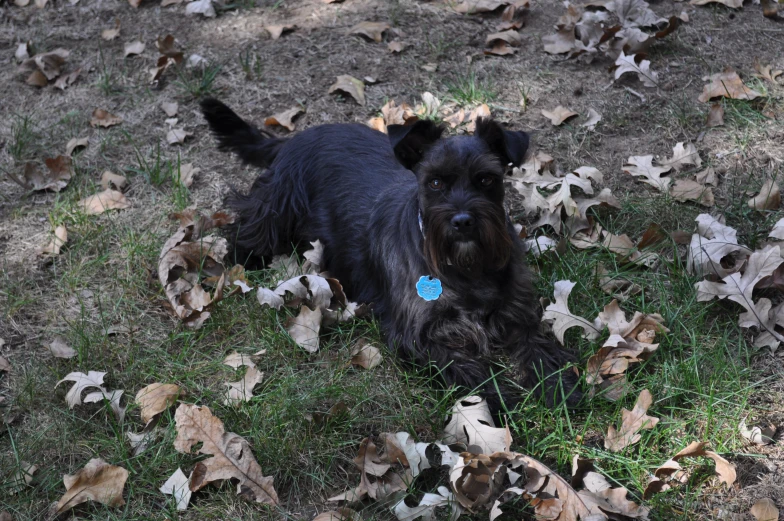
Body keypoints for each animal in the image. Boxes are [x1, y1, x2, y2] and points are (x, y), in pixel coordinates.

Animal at [202, 98, 580, 410]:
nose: (462, 221)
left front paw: (558, 386)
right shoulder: (419, 335)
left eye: (487, 179)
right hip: (277, 210)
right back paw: (242, 258)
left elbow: (539, 346)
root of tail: (295, 138)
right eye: (434, 182)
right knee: (244, 225)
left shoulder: (518, 312)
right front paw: (500, 399)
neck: (465, 268)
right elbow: (467, 367)